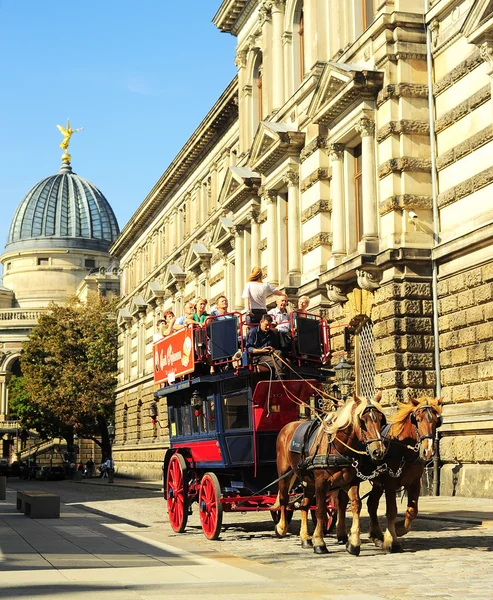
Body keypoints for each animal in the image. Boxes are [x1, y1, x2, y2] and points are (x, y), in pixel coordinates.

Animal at [274, 394, 386, 556]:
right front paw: (319, 542)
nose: (378, 451)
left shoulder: (351, 481)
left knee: (304, 505)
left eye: (381, 419)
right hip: (285, 474)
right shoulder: (321, 483)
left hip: (309, 481)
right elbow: (320, 510)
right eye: (362, 421)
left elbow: (355, 505)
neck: (337, 448)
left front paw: (353, 543)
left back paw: (305, 538)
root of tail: (288, 427)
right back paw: (281, 527)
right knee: (283, 498)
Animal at [336, 394, 444, 552]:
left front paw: (398, 529)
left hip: (376, 484)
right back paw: (342, 534)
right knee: (343, 502)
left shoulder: (414, 482)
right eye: (417, 420)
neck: (404, 450)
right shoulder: (390, 483)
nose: (428, 451)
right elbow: (392, 510)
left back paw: (376, 535)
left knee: (371, 504)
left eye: (437, 421)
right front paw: (392, 539)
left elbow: (412, 510)